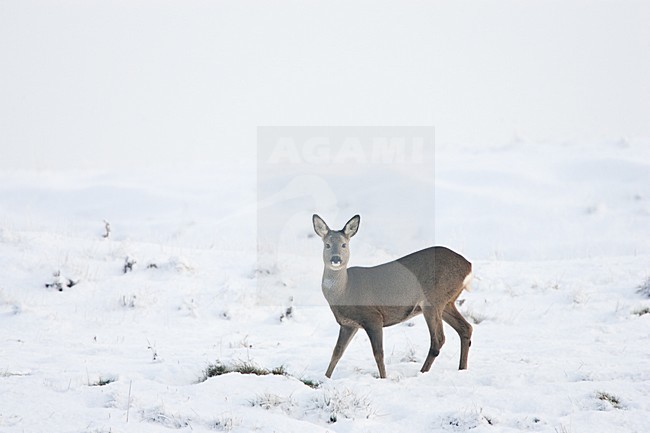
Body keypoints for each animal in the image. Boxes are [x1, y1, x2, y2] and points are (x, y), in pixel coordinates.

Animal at [312, 214, 473, 379]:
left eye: (344, 244)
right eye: (327, 245)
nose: (336, 259)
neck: (345, 291)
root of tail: (468, 265)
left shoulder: (373, 317)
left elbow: (378, 354)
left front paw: (384, 378)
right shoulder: (348, 324)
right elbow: (337, 352)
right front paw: (325, 378)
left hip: (433, 300)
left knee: (438, 340)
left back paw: (422, 372)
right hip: (447, 302)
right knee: (465, 328)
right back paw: (462, 369)